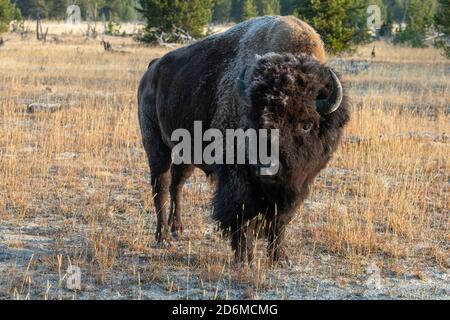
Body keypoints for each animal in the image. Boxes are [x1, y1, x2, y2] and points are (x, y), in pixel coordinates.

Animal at [139, 15, 350, 262]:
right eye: (254, 120)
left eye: (307, 124)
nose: (269, 168)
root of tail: (153, 68)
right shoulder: (238, 177)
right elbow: (242, 213)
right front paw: (244, 257)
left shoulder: (297, 183)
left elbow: (280, 218)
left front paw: (279, 257)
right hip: (156, 146)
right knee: (161, 187)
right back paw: (162, 237)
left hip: (185, 153)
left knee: (177, 184)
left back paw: (177, 229)